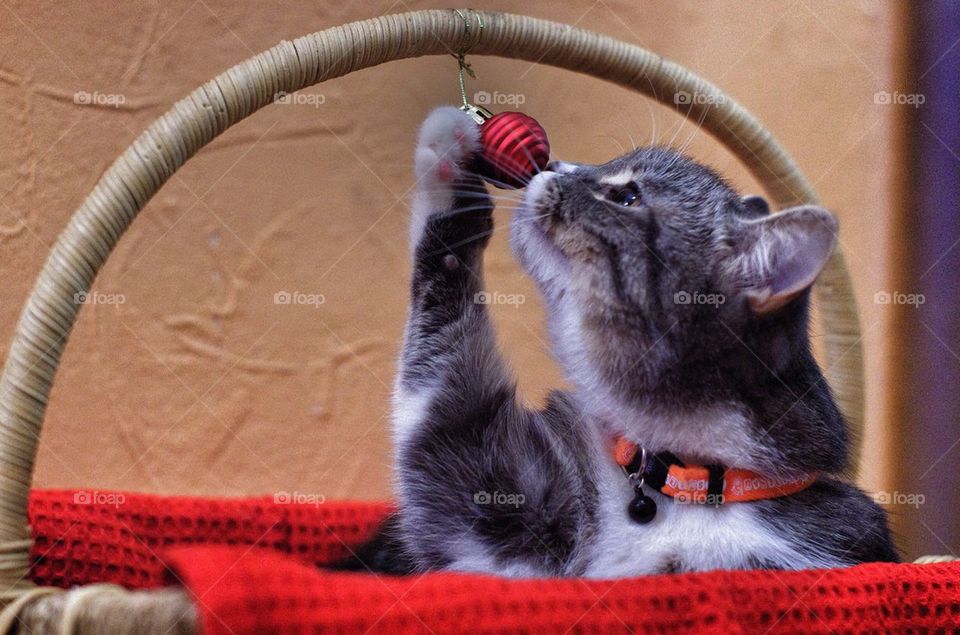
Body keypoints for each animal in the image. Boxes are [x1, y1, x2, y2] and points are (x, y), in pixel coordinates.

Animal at [352, 107, 900, 580]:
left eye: (627, 198)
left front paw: (445, 154)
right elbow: (443, 394)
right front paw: (451, 163)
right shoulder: (490, 516)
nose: (554, 163)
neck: (692, 482)